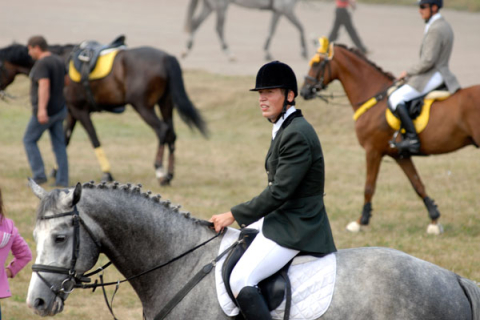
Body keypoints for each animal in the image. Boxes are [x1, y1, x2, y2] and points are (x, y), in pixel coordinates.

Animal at [0, 40, 206, 186]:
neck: (62, 61)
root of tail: (165, 57)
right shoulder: (72, 113)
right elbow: (64, 141)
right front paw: (55, 171)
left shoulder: (80, 111)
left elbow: (94, 139)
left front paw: (107, 173)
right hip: (166, 104)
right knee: (171, 133)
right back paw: (169, 174)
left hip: (143, 106)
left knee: (162, 130)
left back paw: (160, 172)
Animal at [300, 41, 480, 234]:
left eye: (316, 63)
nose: (303, 91)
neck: (374, 97)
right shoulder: (400, 156)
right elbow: (418, 185)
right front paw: (434, 220)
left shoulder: (373, 151)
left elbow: (369, 187)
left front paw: (360, 221)